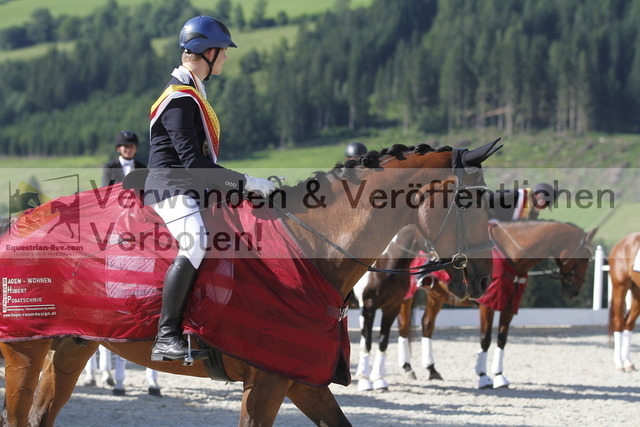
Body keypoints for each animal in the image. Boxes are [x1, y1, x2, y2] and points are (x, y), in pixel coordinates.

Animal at [0, 142, 500, 426]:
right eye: (467, 199)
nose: (481, 277)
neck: (307, 247)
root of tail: (18, 224)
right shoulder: (265, 382)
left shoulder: (299, 379)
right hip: (25, 349)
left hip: (71, 346)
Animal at [356, 221, 596, 392]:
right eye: (585, 257)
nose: (574, 291)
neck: (510, 256)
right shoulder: (487, 305)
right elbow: (486, 339)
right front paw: (483, 377)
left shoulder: (509, 305)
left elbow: (502, 339)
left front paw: (499, 376)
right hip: (407, 298)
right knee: (405, 327)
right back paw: (407, 368)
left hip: (436, 296)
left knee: (427, 325)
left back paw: (431, 369)